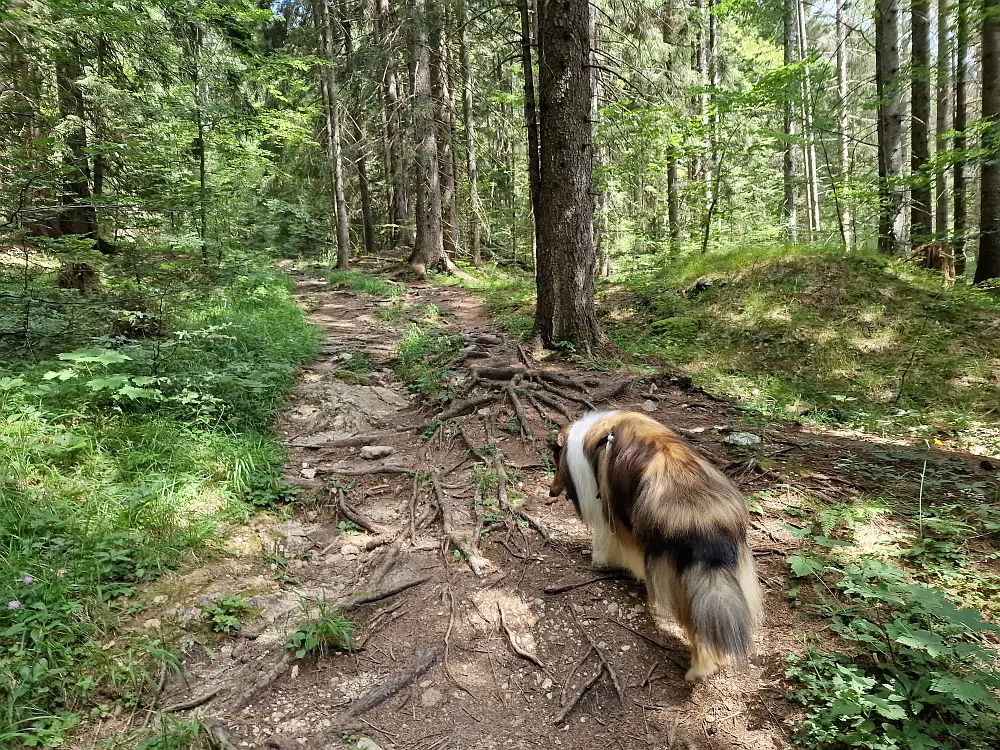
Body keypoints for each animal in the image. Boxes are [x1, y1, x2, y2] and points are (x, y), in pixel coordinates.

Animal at [548, 412, 756, 680]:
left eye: (555, 466)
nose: (550, 492)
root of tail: (704, 517)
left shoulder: (608, 509)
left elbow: (605, 541)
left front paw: (601, 560)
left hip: (673, 576)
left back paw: (700, 669)